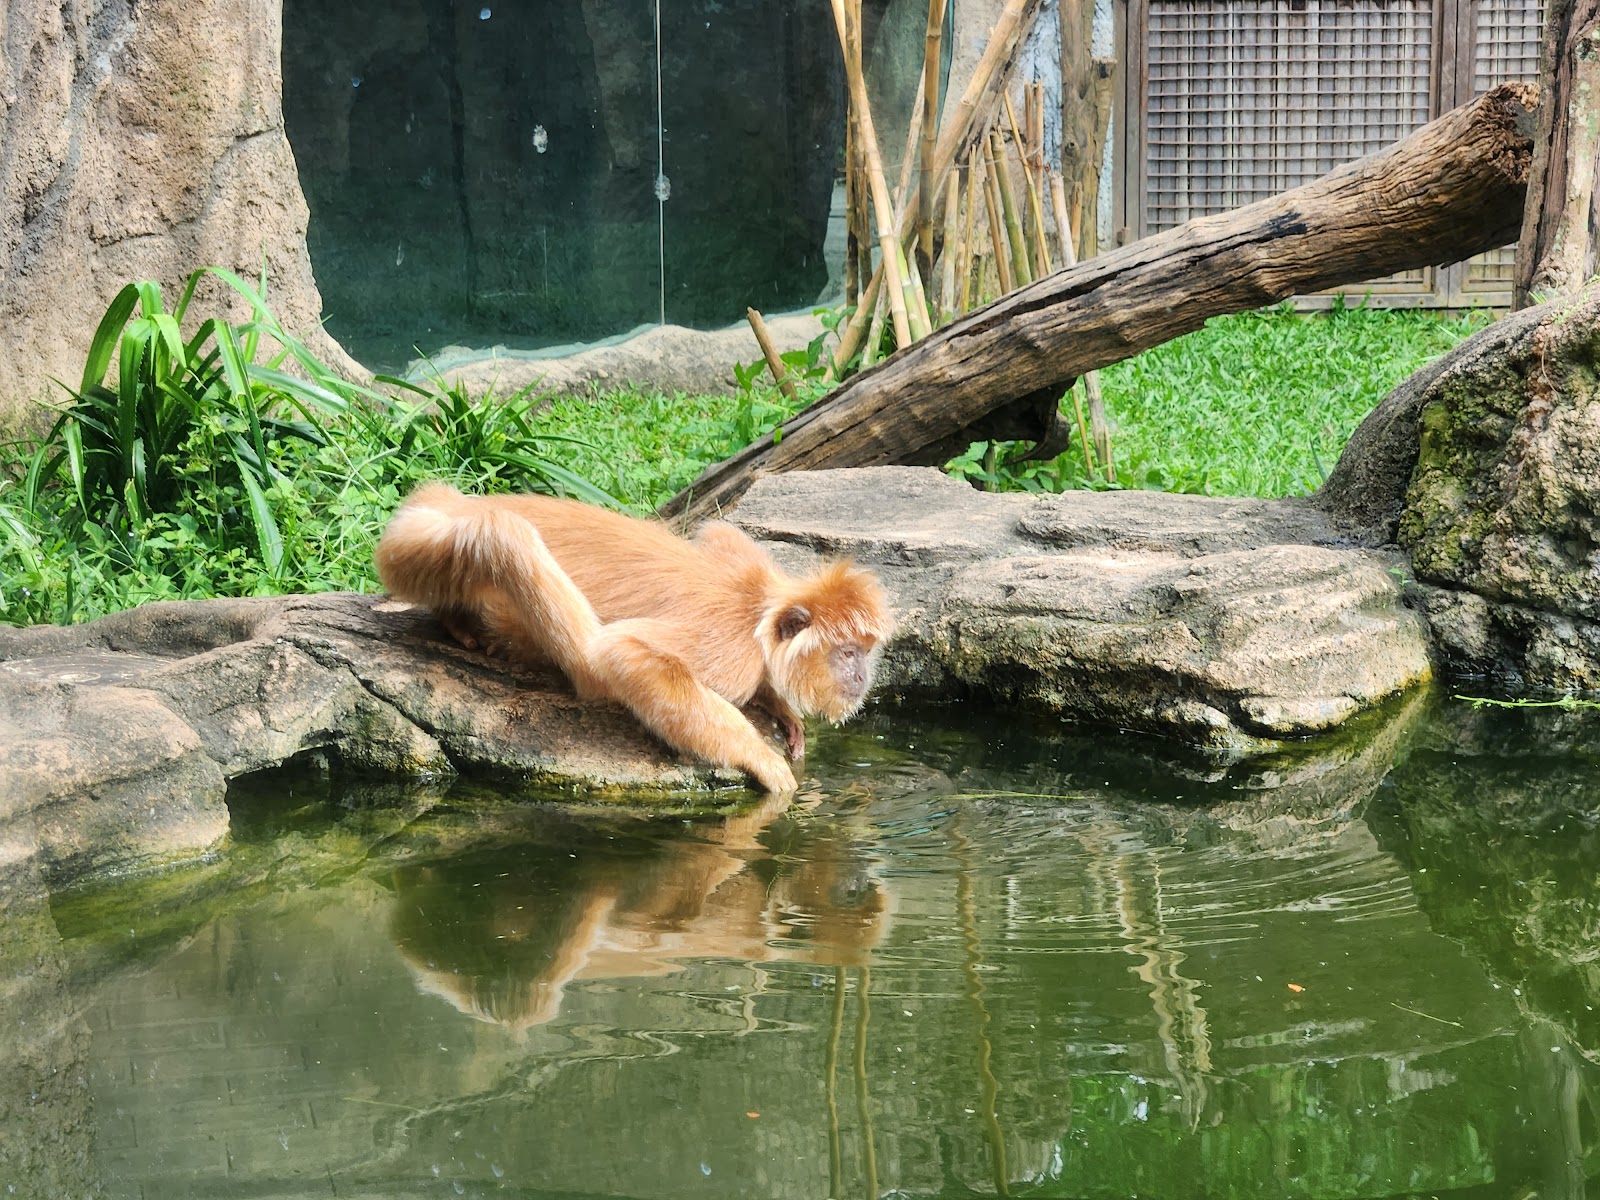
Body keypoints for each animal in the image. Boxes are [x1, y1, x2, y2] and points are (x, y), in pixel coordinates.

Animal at [377, 483, 902, 793]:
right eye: (847, 653)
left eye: (865, 653)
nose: (860, 677)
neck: (760, 605)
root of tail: (448, 500)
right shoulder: (731, 650)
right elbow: (624, 651)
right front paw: (761, 757)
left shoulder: (739, 552)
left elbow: (717, 528)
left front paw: (781, 707)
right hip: (420, 545)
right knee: (509, 541)